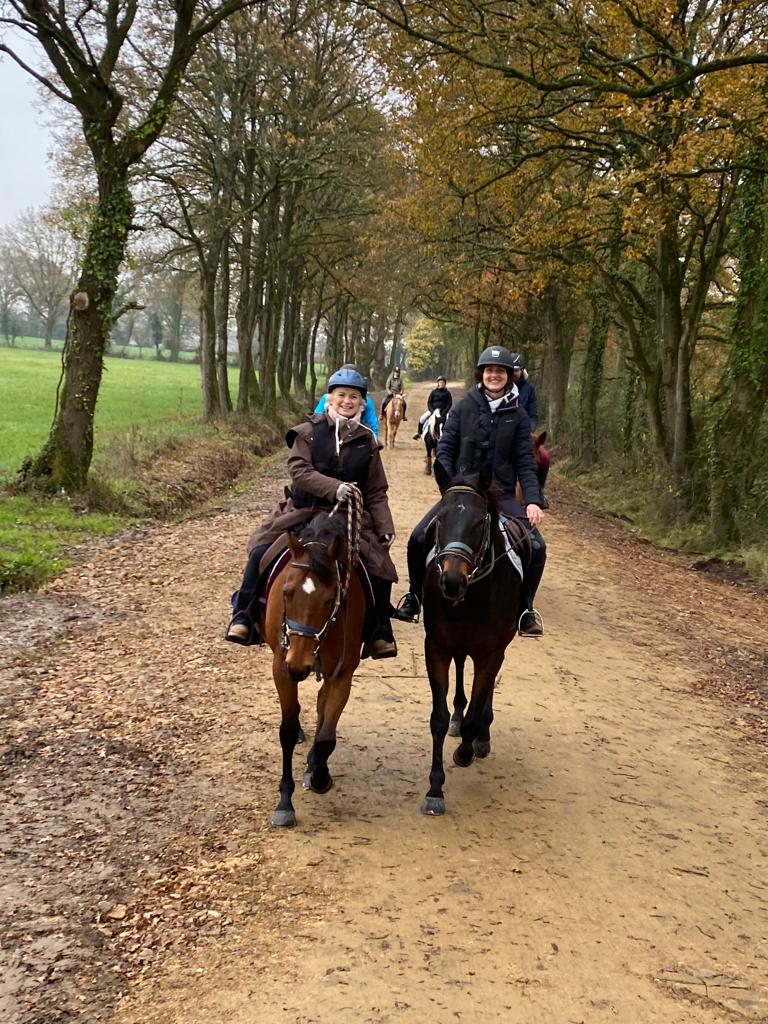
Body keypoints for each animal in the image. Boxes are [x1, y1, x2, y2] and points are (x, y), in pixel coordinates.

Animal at [262, 507, 366, 827]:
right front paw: (285, 802)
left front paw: (319, 775)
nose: (299, 664)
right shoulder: (281, 668)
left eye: (330, 599)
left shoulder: (342, 673)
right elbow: (286, 730)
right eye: (286, 592)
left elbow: (326, 738)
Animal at [421, 464, 528, 815]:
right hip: (457, 646)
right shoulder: (436, 648)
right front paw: (435, 789)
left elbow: (479, 702)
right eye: (441, 519)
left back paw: (482, 735)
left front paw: (466, 750)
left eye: (480, 522)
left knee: (488, 688)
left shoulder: (489, 653)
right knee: (460, 672)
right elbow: (438, 719)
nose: (452, 581)